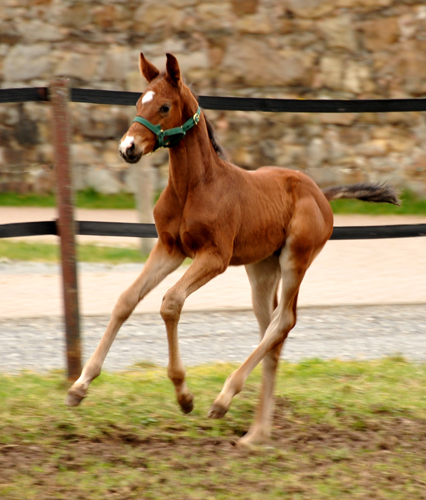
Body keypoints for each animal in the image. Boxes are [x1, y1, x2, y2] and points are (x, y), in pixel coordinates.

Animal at [66, 53, 400, 446]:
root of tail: (320, 192)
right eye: (138, 103)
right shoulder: (169, 248)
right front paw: (79, 386)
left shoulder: (215, 256)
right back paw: (256, 433)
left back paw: (224, 400)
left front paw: (184, 395)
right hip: (262, 268)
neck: (194, 186)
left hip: (296, 257)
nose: (127, 148)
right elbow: (125, 300)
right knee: (271, 330)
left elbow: (170, 302)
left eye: (164, 106)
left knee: (283, 321)